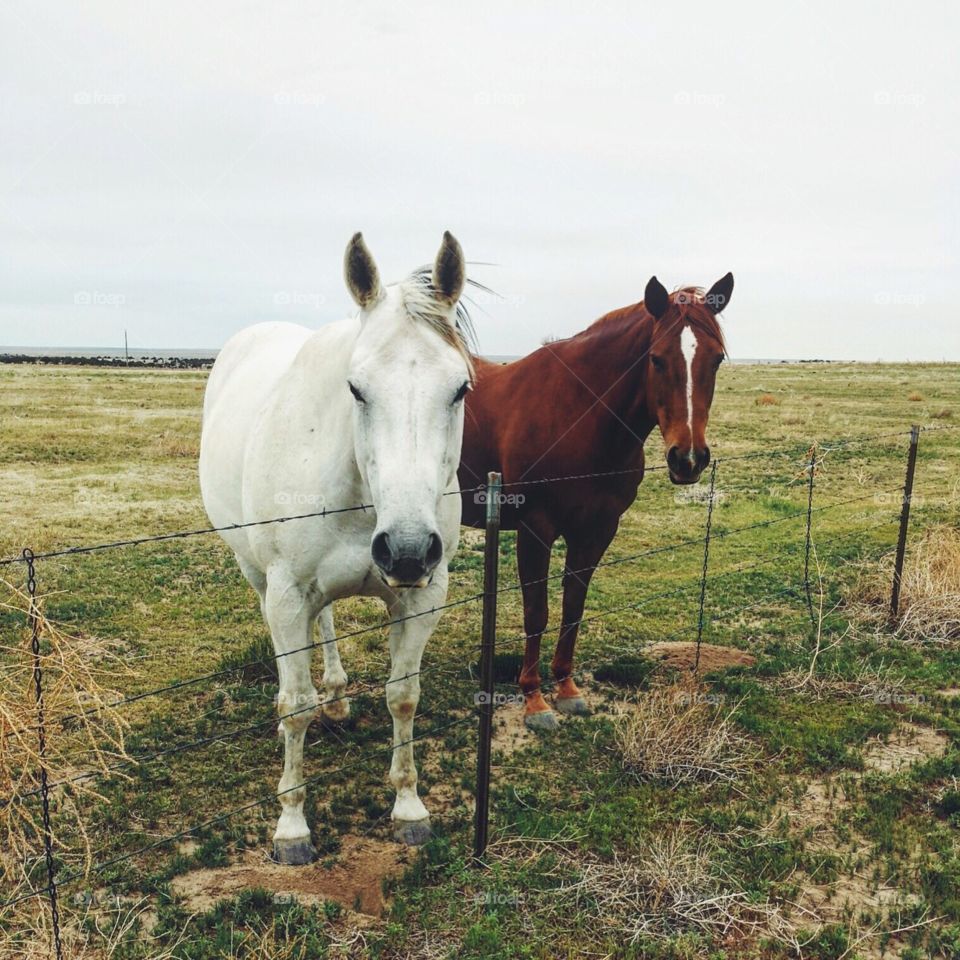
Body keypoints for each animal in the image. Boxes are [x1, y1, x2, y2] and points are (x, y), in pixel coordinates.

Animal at [199, 232, 472, 864]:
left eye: (461, 388)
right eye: (356, 389)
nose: (406, 550)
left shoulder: (424, 595)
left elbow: (403, 696)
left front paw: (408, 808)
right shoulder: (286, 592)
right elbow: (295, 704)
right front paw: (292, 825)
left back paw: (340, 695)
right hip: (259, 576)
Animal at [462, 274, 732, 732]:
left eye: (715, 360)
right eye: (656, 359)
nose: (688, 458)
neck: (580, 414)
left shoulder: (597, 529)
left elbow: (574, 603)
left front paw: (567, 689)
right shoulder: (536, 528)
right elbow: (537, 611)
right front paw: (534, 700)